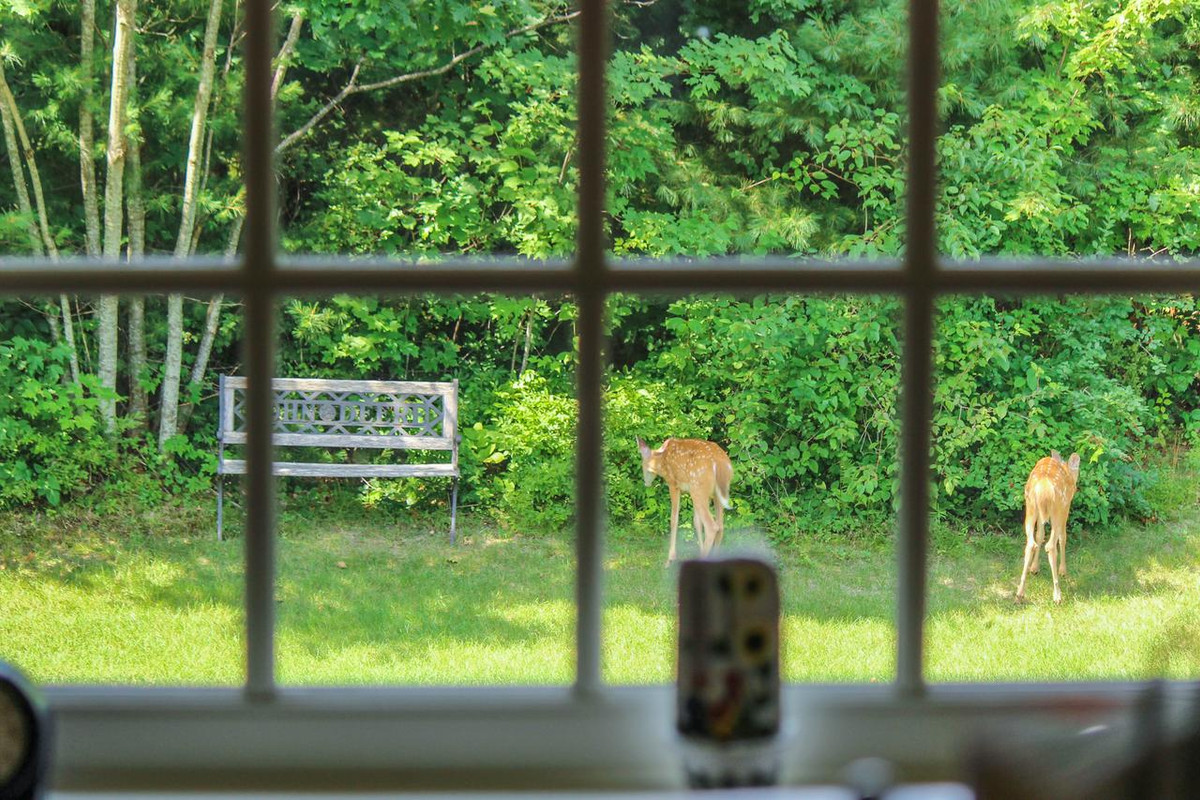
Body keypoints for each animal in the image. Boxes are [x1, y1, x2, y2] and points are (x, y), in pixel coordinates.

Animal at [637, 437, 733, 566]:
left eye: (642, 463)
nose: (646, 483)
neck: (661, 461)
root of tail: (720, 463)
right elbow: (696, 522)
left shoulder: (673, 484)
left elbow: (674, 519)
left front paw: (670, 559)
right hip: (712, 493)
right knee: (720, 526)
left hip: (698, 487)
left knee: (712, 526)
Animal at [1015, 450, 1081, 605]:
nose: (1076, 485)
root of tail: (1043, 486)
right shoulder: (1066, 507)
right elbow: (1063, 537)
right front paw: (1063, 570)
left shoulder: (1041, 513)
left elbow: (1040, 535)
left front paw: (1034, 568)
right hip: (1057, 508)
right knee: (1051, 545)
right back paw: (1057, 595)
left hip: (1031, 506)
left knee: (1030, 543)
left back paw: (1020, 593)